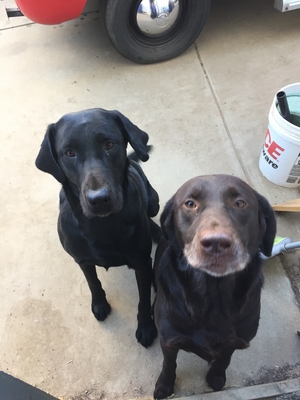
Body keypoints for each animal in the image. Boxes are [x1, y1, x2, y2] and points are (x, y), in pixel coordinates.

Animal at [35, 108, 162, 348]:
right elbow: (92, 282)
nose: (99, 199)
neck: (101, 225)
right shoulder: (82, 259)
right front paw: (100, 304)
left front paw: (146, 327)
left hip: (154, 202)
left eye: (110, 145)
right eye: (69, 153)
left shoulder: (142, 264)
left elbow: (143, 299)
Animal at [154, 175, 276, 396]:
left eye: (240, 203)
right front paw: (165, 385)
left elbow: (224, 359)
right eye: (190, 204)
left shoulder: (236, 341)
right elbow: (169, 364)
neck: (213, 293)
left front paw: (216, 376)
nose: (216, 243)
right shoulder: (169, 340)